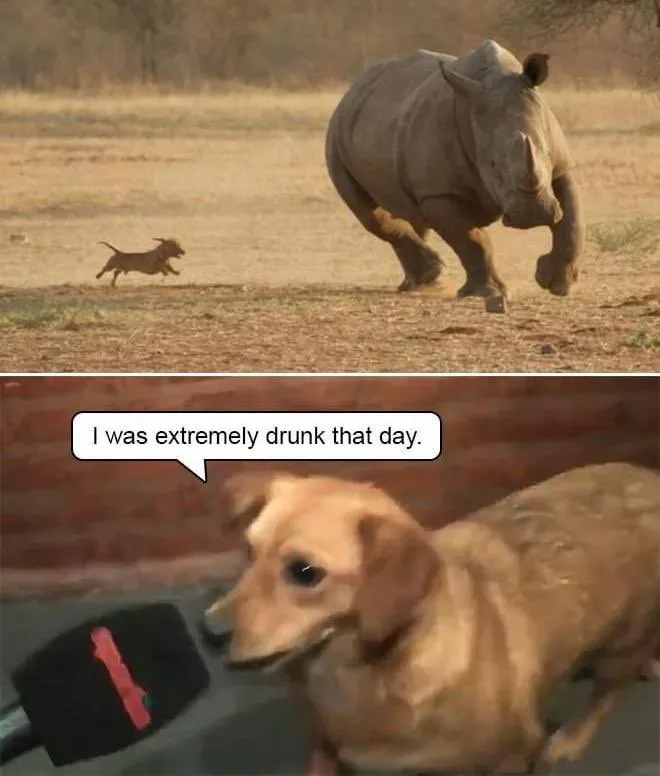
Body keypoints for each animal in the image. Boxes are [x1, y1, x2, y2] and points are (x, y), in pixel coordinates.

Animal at [325, 40, 584, 300]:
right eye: (492, 166)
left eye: (547, 154)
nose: (533, 215)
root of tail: (351, 91)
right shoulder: (439, 192)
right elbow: (472, 241)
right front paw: (486, 293)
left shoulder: (561, 167)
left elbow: (572, 222)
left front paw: (558, 286)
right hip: (336, 137)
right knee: (370, 212)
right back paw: (430, 276)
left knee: (410, 212)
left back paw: (421, 284)